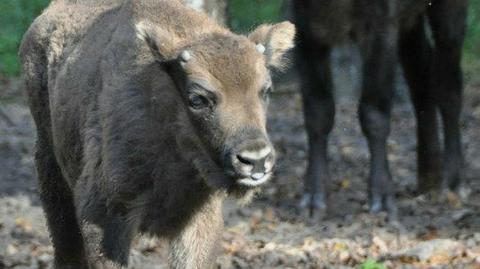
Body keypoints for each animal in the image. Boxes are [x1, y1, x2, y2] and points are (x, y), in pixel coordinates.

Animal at [19, 0, 296, 266]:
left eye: (266, 90)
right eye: (197, 98)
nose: (256, 159)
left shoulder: (200, 218)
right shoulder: (104, 215)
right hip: (51, 170)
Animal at [294, 0, 466, 220]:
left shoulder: (382, 27)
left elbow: (373, 114)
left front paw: (382, 200)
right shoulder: (304, 26)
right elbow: (318, 113)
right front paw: (313, 199)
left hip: (449, 13)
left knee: (449, 82)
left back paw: (452, 182)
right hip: (411, 22)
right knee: (421, 71)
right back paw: (429, 176)